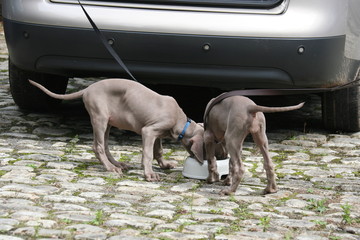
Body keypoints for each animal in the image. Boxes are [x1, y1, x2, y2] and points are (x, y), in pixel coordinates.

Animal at [29, 79, 204, 182]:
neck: (181, 122)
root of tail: (87, 89)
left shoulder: (157, 133)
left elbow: (158, 151)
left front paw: (164, 164)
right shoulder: (148, 130)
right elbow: (148, 154)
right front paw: (149, 174)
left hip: (108, 122)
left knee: (106, 145)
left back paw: (117, 164)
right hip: (99, 117)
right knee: (98, 146)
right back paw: (110, 167)